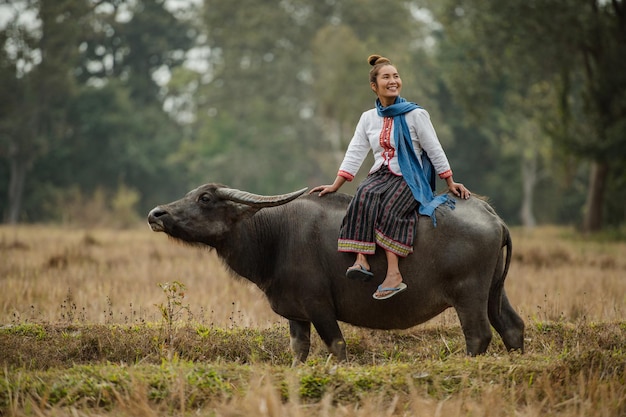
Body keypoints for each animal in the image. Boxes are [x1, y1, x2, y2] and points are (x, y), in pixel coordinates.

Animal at [149, 184, 524, 362]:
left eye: (206, 198)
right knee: (511, 326)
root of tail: (491, 215)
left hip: (468, 294)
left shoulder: (320, 307)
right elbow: (298, 350)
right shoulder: (296, 315)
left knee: (478, 335)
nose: (156, 213)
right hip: (495, 291)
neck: (274, 236)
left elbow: (337, 347)